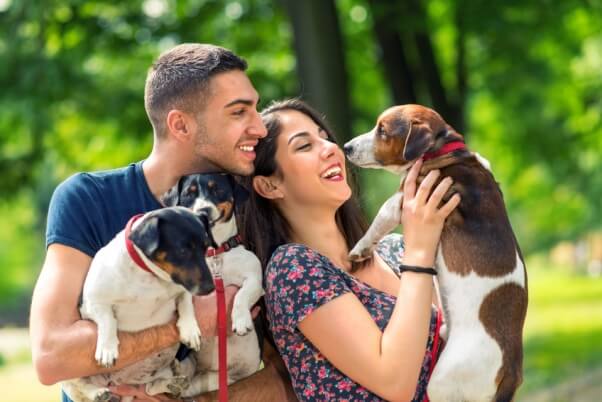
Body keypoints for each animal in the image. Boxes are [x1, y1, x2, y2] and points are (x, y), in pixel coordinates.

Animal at [62, 207, 216, 402]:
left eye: (206, 247)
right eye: (182, 250)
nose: (210, 288)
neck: (149, 275)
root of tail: (121, 383)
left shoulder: (183, 289)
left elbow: (186, 302)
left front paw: (190, 330)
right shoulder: (92, 303)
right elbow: (108, 320)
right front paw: (107, 349)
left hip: (177, 366)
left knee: (151, 388)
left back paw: (172, 384)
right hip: (69, 372)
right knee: (82, 388)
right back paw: (98, 393)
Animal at [161, 174, 264, 396]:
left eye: (217, 189)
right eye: (189, 193)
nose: (203, 211)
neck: (214, 255)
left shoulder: (254, 280)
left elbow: (241, 295)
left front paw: (241, 321)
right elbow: (186, 304)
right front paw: (190, 329)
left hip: (222, 379)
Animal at [342, 104, 524, 402]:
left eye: (383, 131)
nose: (346, 147)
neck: (442, 148)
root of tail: (511, 369)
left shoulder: (402, 200)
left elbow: (379, 219)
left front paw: (360, 248)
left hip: (441, 382)